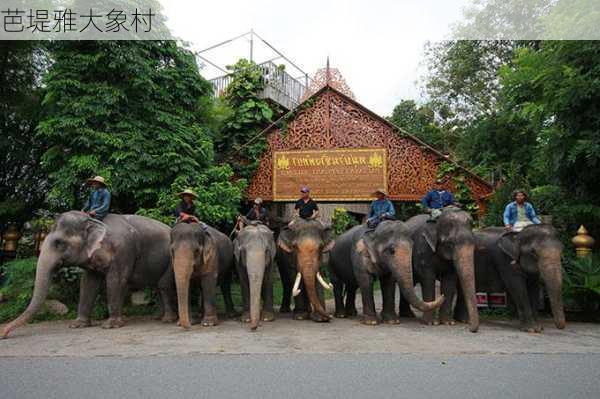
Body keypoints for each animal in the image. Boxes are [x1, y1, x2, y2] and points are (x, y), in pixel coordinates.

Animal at [1, 211, 177, 340]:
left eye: (59, 243)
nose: (3, 333)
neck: (93, 221)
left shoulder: (123, 251)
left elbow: (116, 281)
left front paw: (110, 326)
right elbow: (88, 283)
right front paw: (77, 325)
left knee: (163, 286)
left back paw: (167, 320)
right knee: (157, 287)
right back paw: (158, 317)